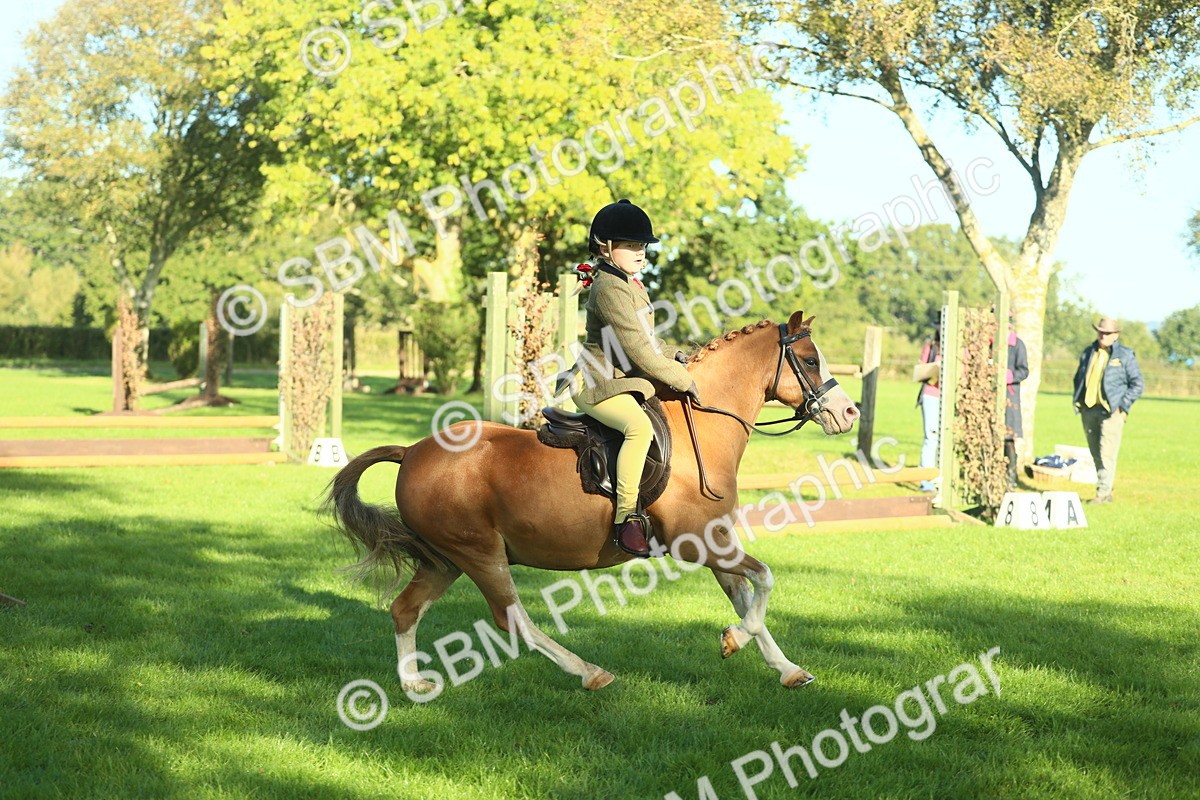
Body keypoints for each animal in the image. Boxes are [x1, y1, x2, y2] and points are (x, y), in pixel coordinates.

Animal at [325, 311, 860, 695]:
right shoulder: (695, 543)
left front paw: (786, 668)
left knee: (405, 609)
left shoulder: (715, 541)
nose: (849, 413)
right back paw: (589, 673)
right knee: (511, 619)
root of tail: (413, 451)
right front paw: (733, 639)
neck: (701, 430)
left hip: (446, 559)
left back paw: (413, 684)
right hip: (478, 554)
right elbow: (764, 580)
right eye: (811, 361)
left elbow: (748, 597)